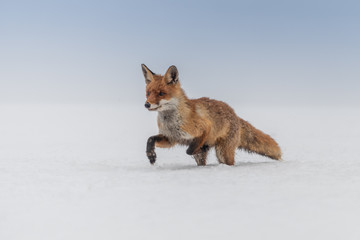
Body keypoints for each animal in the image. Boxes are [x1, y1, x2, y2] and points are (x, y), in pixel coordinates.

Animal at [143, 63, 282, 165]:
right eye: (148, 93)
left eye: (161, 93)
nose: (147, 104)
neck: (171, 122)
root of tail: (235, 114)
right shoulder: (171, 138)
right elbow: (150, 139)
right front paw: (151, 155)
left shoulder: (204, 127)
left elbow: (189, 150)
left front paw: (200, 147)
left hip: (223, 153)